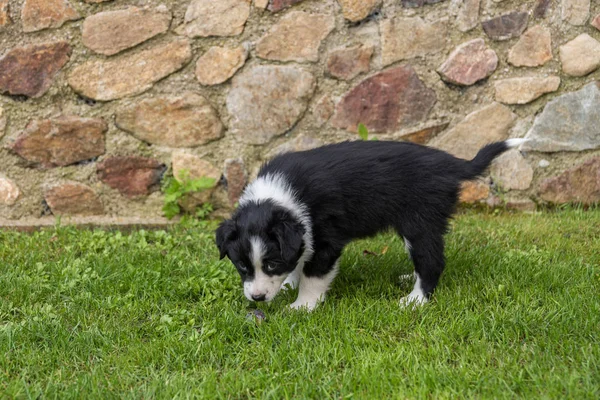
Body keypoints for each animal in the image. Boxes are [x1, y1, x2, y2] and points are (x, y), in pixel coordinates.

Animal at [217, 139, 524, 310]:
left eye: (270, 264)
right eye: (241, 266)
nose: (257, 298)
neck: (279, 194)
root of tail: (451, 164)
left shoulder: (326, 239)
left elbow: (314, 275)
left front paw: (302, 306)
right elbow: (297, 260)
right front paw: (289, 285)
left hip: (419, 222)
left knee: (432, 262)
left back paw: (414, 301)